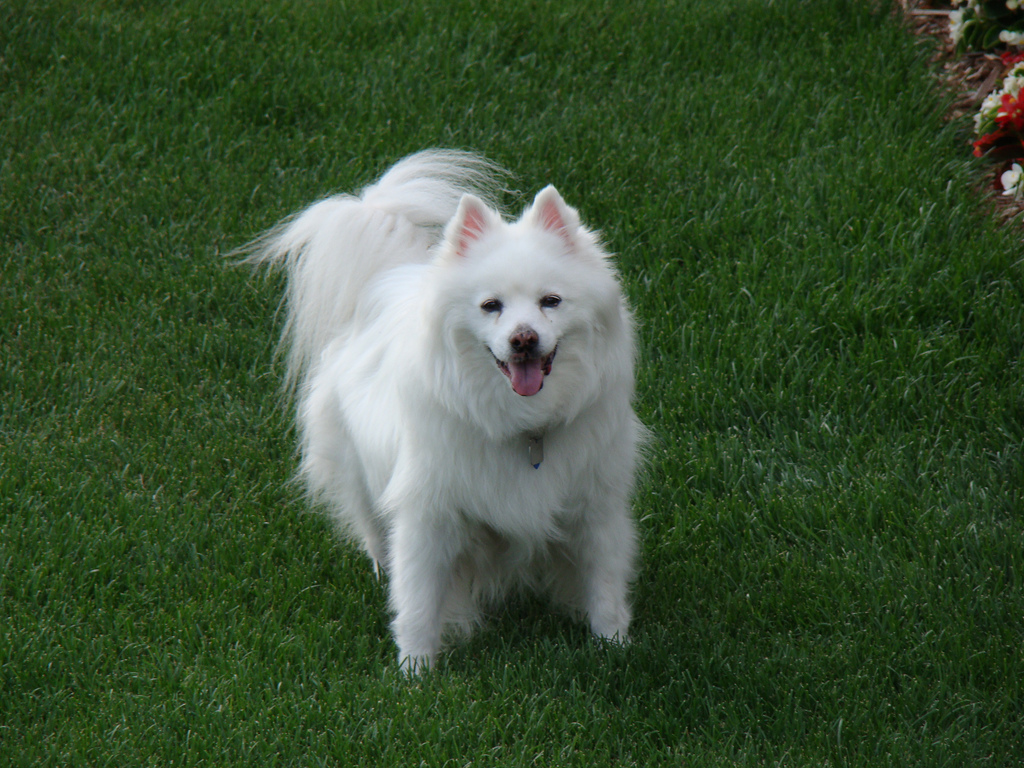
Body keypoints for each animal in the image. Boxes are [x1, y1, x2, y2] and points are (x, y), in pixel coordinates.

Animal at [246, 151, 643, 671]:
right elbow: (418, 597)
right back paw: (380, 564)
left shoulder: (595, 504)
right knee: (372, 526)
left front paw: (612, 645)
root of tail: (387, 277)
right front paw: (415, 669)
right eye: (491, 306)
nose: (524, 339)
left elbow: (604, 582)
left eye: (551, 301)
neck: (525, 426)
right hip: (358, 468)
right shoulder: (428, 513)